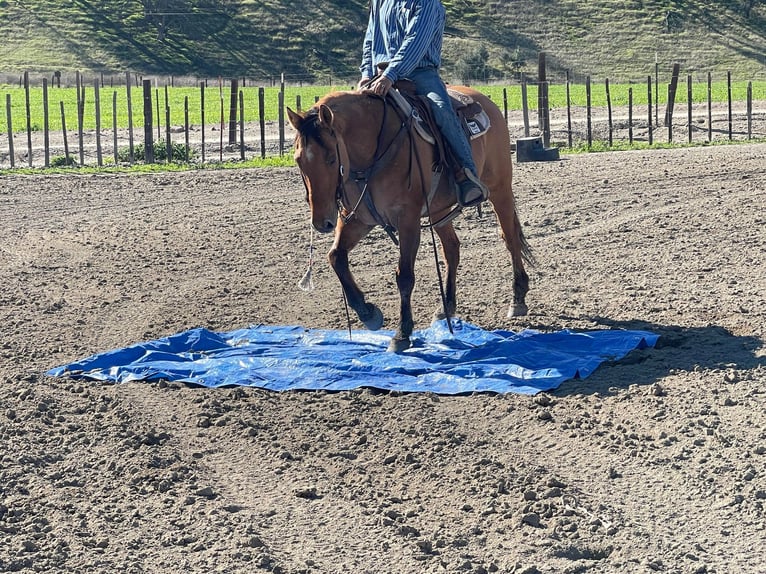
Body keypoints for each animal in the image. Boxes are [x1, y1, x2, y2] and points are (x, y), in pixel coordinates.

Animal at [288, 87, 536, 354]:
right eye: (298, 159)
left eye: (331, 159)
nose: (322, 222)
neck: (373, 151)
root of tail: (485, 101)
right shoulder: (359, 220)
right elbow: (336, 257)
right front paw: (368, 313)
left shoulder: (408, 219)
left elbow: (404, 276)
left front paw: (401, 333)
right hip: (438, 209)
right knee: (452, 249)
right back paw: (446, 307)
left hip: (500, 189)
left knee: (510, 239)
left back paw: (517, 299)